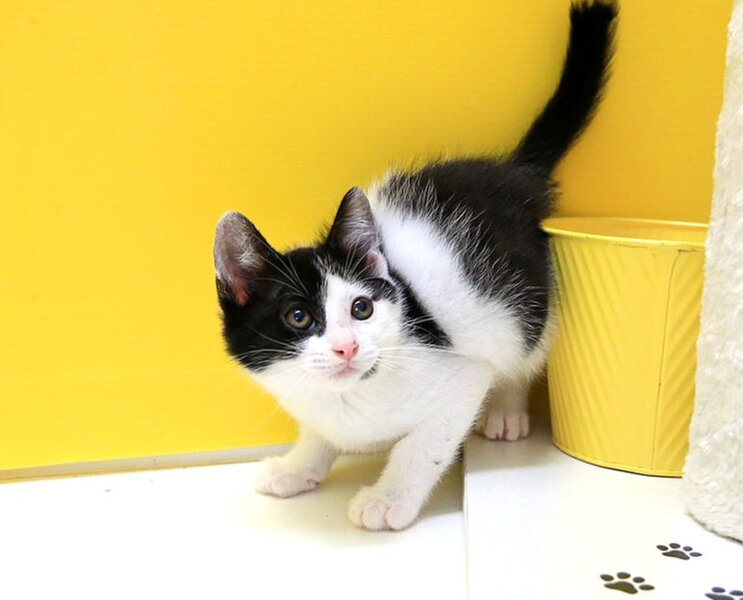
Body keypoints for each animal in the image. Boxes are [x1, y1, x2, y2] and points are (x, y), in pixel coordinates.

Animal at [213, 0, 616, 531]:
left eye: (361, 308)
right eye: (298, 317)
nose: (346, 347)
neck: (348, 399)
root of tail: (513, 171)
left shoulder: (459, 380)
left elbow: (422, 447)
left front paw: (388, 500)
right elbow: (318, 434)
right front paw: (298, 467)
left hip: (527, 301)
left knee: (521, 348)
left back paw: (506, 411)